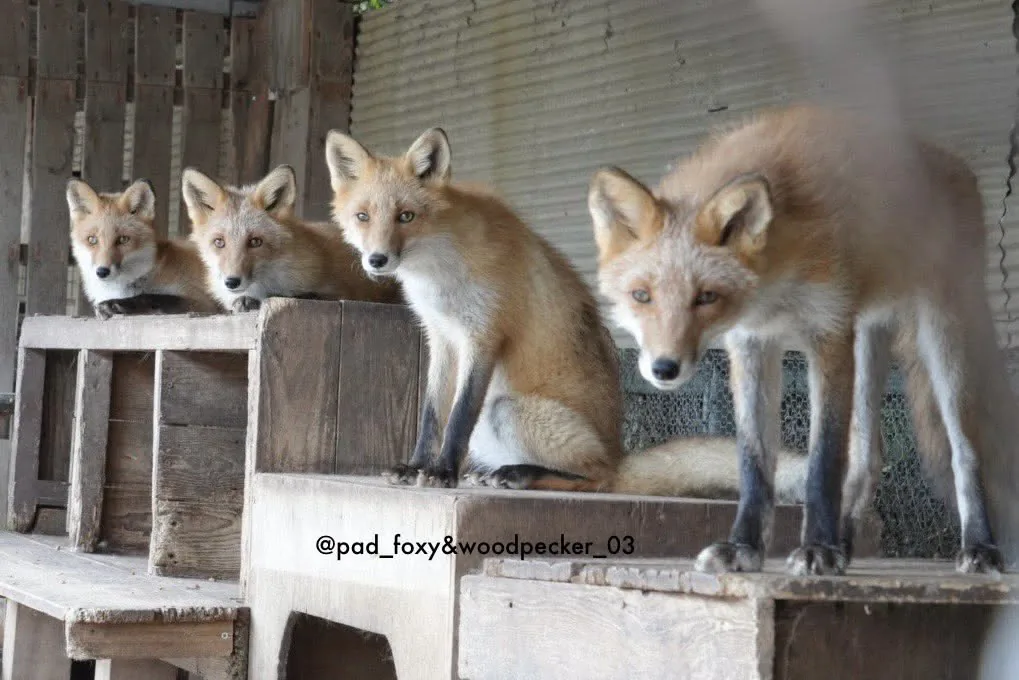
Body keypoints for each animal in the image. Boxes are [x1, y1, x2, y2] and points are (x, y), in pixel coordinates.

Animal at [67, 178, 221, 318]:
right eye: (92, 240)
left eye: (123, 239)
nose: (102, 272)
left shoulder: (202, 301)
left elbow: (151, 297)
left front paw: (115, 305)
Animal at [180, 164, 402, 312]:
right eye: (219, 242)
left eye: (255, 242)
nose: (231, 282)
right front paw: (243, 301)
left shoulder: (344, 291)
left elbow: (312, 294)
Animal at [588, 104, 1018, 576]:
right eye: (641, 296)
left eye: (706, 297)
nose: (664, 368)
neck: (776, 284)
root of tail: (957, 164)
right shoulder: (753, 343)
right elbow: (754, 462)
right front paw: (744, 546)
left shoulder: (827, 331)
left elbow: (824, 461)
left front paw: (817, 549)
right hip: (867, 335)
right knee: (868, 456)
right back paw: (845, 544)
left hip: (940, 335)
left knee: (964, 451)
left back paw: (980, 546)